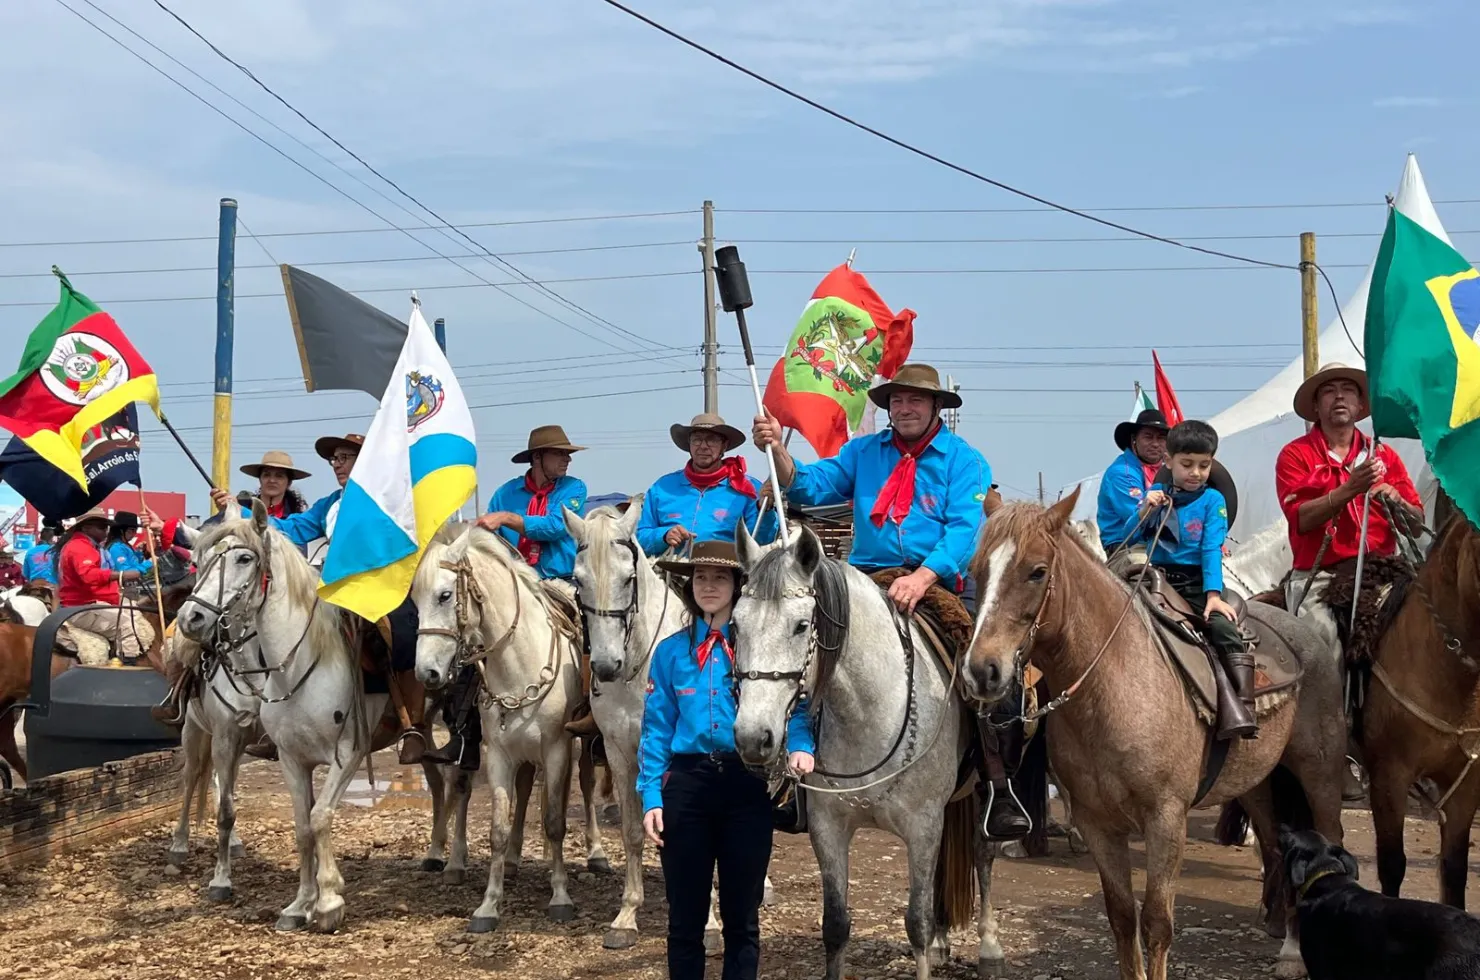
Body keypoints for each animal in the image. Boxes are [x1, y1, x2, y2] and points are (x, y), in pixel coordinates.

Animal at [176, 506, 387, 935]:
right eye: (198, 562)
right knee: (191, 779)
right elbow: (296, 825)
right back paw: (180, 844)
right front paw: (298, 902)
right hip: (195, 733)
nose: (191, 618)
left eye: (245, 558)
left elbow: (319, 818)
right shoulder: (278, 754)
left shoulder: (348, 755)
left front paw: (328, 901)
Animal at [411, 527, 606, 935]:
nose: (427, 673)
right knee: (511, 786)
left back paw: (596, 853)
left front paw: (560, 897)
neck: (519, 663)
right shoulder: (498, 754)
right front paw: (488, 905)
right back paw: (507, 860)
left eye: (445, 595)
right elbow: (498, 829)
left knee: (584, 783)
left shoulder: (557, 749)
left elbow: (554, 822)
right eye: (415, 602)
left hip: (580, 747)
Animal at [964, 494, 1349, 980]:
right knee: (1279, 851)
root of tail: (1305, 633)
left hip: (1319, 775)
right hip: (1258, 786)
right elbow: (1121, 917)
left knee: (1326, 844)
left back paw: (1296, 952)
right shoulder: (1098, 823)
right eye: (976, 569)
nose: (982, 671)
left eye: (1037, 571)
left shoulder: (1166, 819)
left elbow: (1157, 923)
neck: (1113, 684)